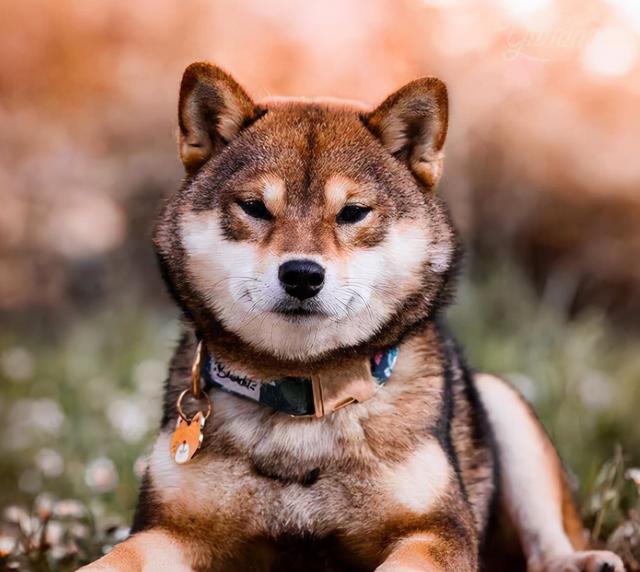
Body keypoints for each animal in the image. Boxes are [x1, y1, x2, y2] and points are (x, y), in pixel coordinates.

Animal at [80, 63, 624, 572]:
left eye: (353, 212)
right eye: (255, 207)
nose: (302, 274)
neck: (300, 396)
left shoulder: (436, 529)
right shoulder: (173, 528)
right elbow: (111, 560)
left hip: (504, 405)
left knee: (546, 546)